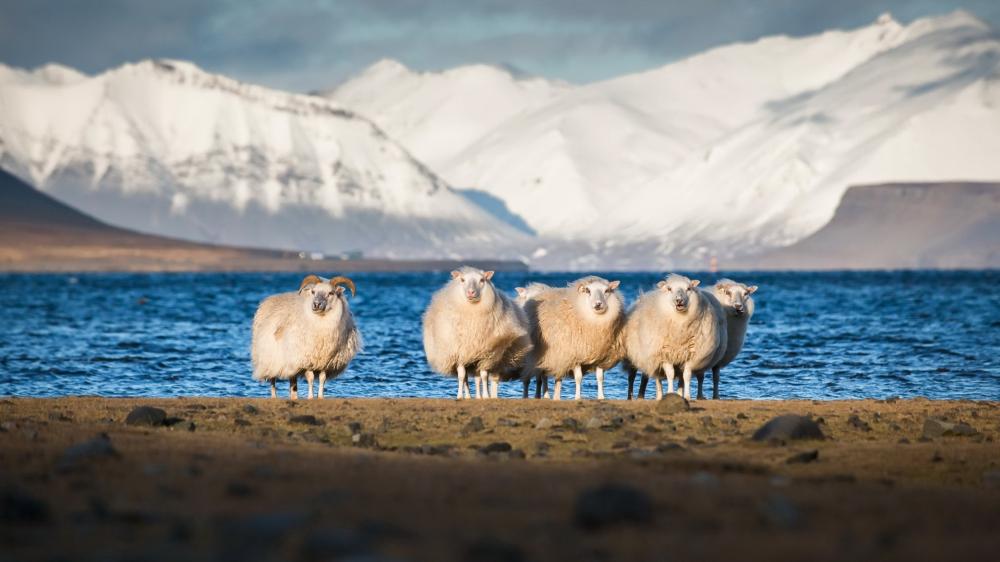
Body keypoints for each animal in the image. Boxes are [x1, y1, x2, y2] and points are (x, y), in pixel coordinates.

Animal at [422, 267, 532, 399]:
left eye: (482, 280)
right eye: (462, 280)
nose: (471, 292)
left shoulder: (486, 354)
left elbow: (484, 376)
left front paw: (485, 396)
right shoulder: (459, 353)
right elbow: (461, 376)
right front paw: (460, 396)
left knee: (478, 378)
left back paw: (480, 396)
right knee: (466, 378)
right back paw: (468, 396)